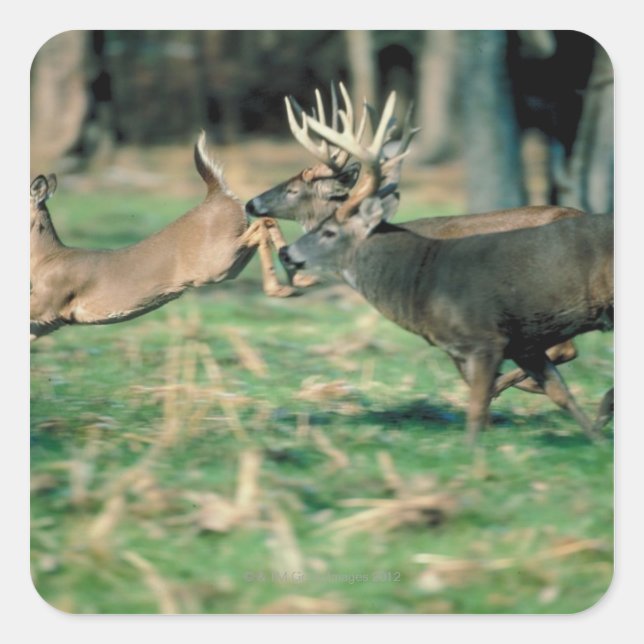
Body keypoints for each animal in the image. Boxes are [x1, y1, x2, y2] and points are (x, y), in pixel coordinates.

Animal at [30, 131, 299, 341]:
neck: (46, 259)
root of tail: (217, 194)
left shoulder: (48, 303)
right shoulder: (51, 322)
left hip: (216, 262)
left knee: (262, 225)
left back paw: (284, 287)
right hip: (226, 263)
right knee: (266, 223)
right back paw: (294, 279)